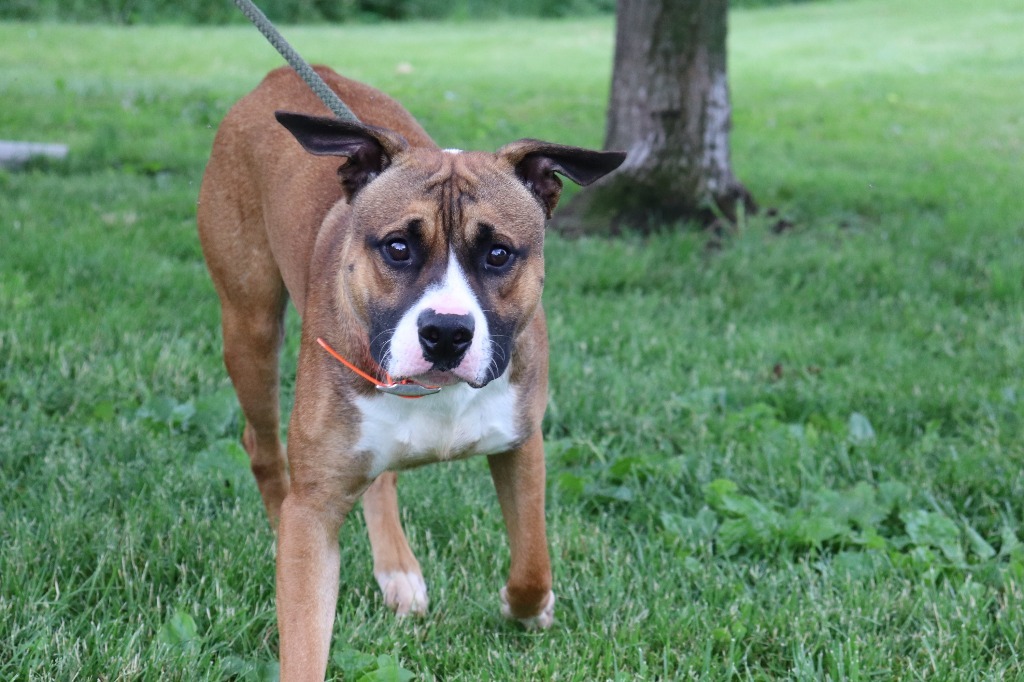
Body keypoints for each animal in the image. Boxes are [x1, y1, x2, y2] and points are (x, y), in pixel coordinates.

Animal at [193, 65, 622, 679]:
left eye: (498, 254)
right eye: (397, 248)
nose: (445, 332)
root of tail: (277, 74)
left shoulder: (521, 444)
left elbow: (533, 561)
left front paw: (527, 609)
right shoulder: (314, 507)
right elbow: (304, 636)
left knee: (382, 478)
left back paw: (398, 571)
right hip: (249, 328)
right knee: (263, 449)